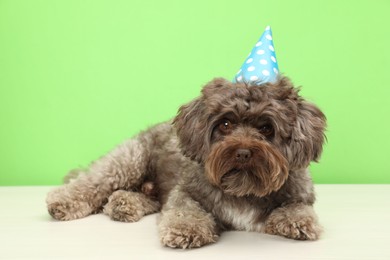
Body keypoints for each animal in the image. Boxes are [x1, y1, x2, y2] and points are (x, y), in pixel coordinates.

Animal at [45, 76, 326, 248]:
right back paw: (65, 201)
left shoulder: (300, 194)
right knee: (93, 182)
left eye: (267, 128)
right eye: (225, 124)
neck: (243, 189)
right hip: (129, 160)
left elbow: (298, 208)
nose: (243, 152)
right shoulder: (185, 192)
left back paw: (124, 203)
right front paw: (187, 228)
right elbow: (185, 210)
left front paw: (297, 222)